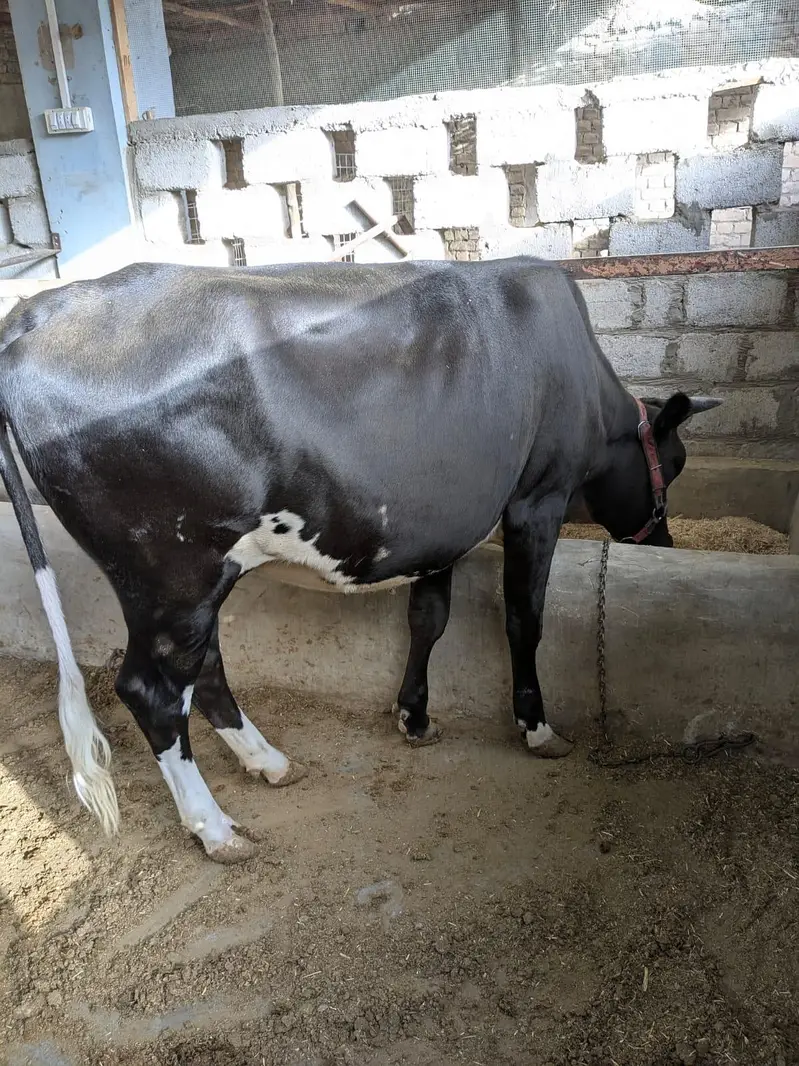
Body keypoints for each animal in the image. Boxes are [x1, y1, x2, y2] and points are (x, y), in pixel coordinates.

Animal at [0, 258, 719, 862]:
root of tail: (41, 310)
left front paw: (414, 717)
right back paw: (216, 828)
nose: (667, 543)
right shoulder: (535, 500)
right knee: (151, 690)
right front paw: (537, 728)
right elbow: (523, 617)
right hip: (172, 570)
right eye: (677, 462)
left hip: (189, 579)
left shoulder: (438, 524)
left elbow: (429, 618)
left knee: (202, 670)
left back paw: (268, 761)